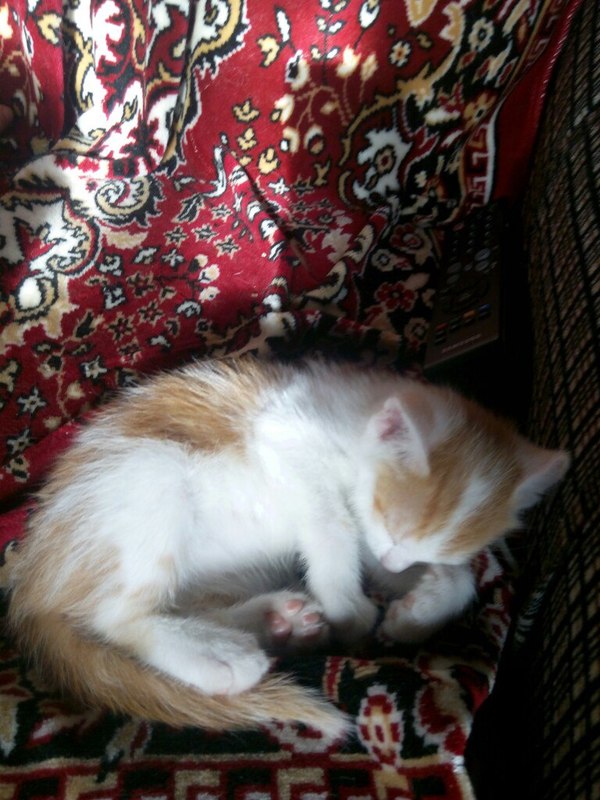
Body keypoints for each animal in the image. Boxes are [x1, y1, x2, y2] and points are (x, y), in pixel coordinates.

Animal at [7, 357, 569, 739]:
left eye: (418, 551)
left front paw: (419, 610)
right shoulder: (283, 433)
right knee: (112, 614)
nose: (395, 558)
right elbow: (333, 520)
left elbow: (454, 576)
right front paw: (349, 607)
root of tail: (31, 588)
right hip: (148, 475)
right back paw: (218, 654)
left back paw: (277, 622)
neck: (354, 418)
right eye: (389, 523)